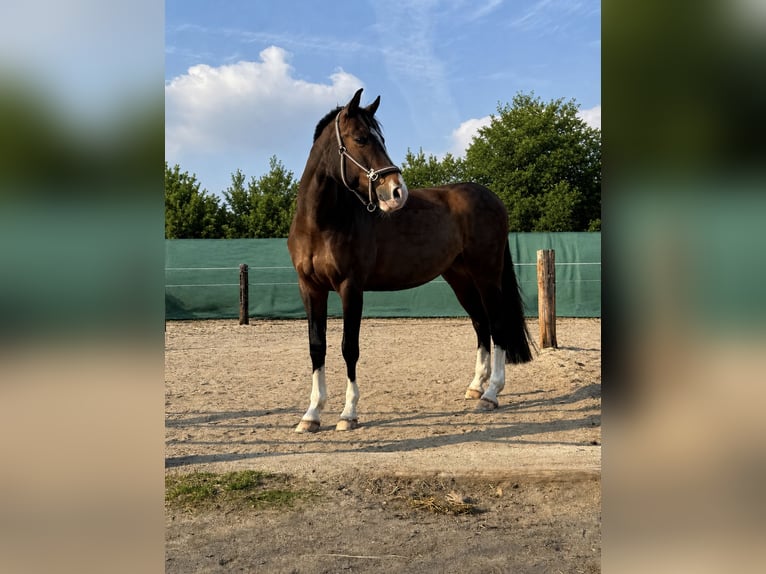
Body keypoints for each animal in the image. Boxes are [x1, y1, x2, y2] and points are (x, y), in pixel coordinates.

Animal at [287, 88, 533, 433]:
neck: (321, 224)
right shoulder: (310, 288)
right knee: (481, 324)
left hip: (487, 275)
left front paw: (348, 413)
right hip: (460, 278)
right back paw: (475, 387)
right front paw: (311, 415)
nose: (396, 192)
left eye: (381, 139)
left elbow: (349, 347)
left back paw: (491, 394)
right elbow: (316, 347)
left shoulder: (351, 287)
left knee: (497, 324)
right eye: (361, 138)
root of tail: (492, 198)